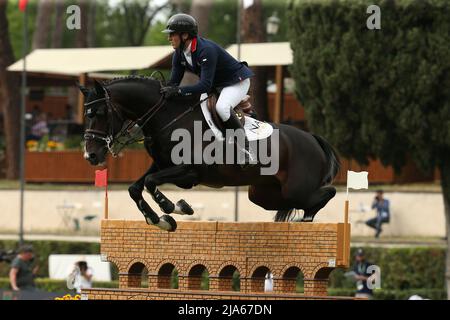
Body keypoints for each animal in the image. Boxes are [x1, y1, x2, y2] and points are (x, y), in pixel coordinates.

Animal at [81, 77, 340, 232]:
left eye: (101, 113)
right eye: (87, 114)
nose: (90, 156)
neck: (168, 117)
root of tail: (313, 139)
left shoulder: (189, 171)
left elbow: (151, 182)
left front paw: (174, 207)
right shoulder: (162, 164)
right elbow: (136, 188)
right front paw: (160, 220)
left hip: (296, 187)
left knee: (325, 193)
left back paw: (308, 219)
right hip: (262, 194)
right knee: (293, 202)